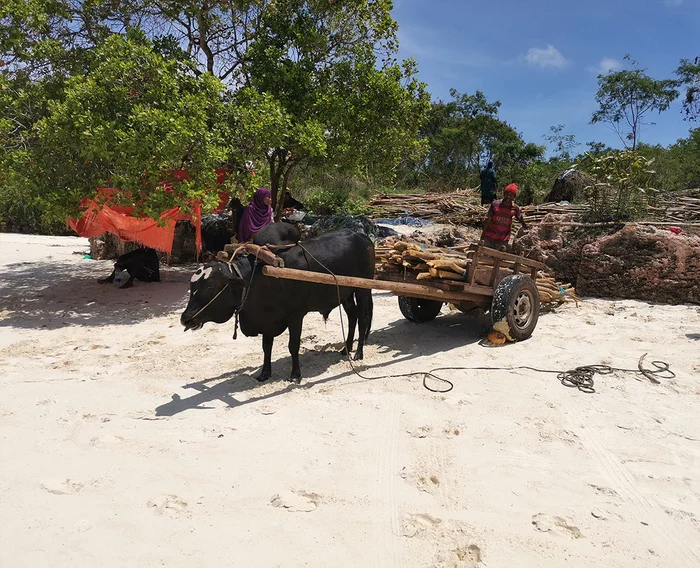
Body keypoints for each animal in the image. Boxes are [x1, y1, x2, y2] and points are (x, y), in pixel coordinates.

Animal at [183, 226, 374, 382]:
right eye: (192, 286)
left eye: (210, 286)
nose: (185, 318)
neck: (257, 277)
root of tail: (362, 236)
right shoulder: (267, 319)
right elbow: (266, 347)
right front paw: (264, 373)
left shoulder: (296, 315)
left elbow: (293, 346)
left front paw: (295, 375)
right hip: (346, 293)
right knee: (352, 317)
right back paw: (346, 349)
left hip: (363, 290)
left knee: (363, 319)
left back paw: (358, 353)